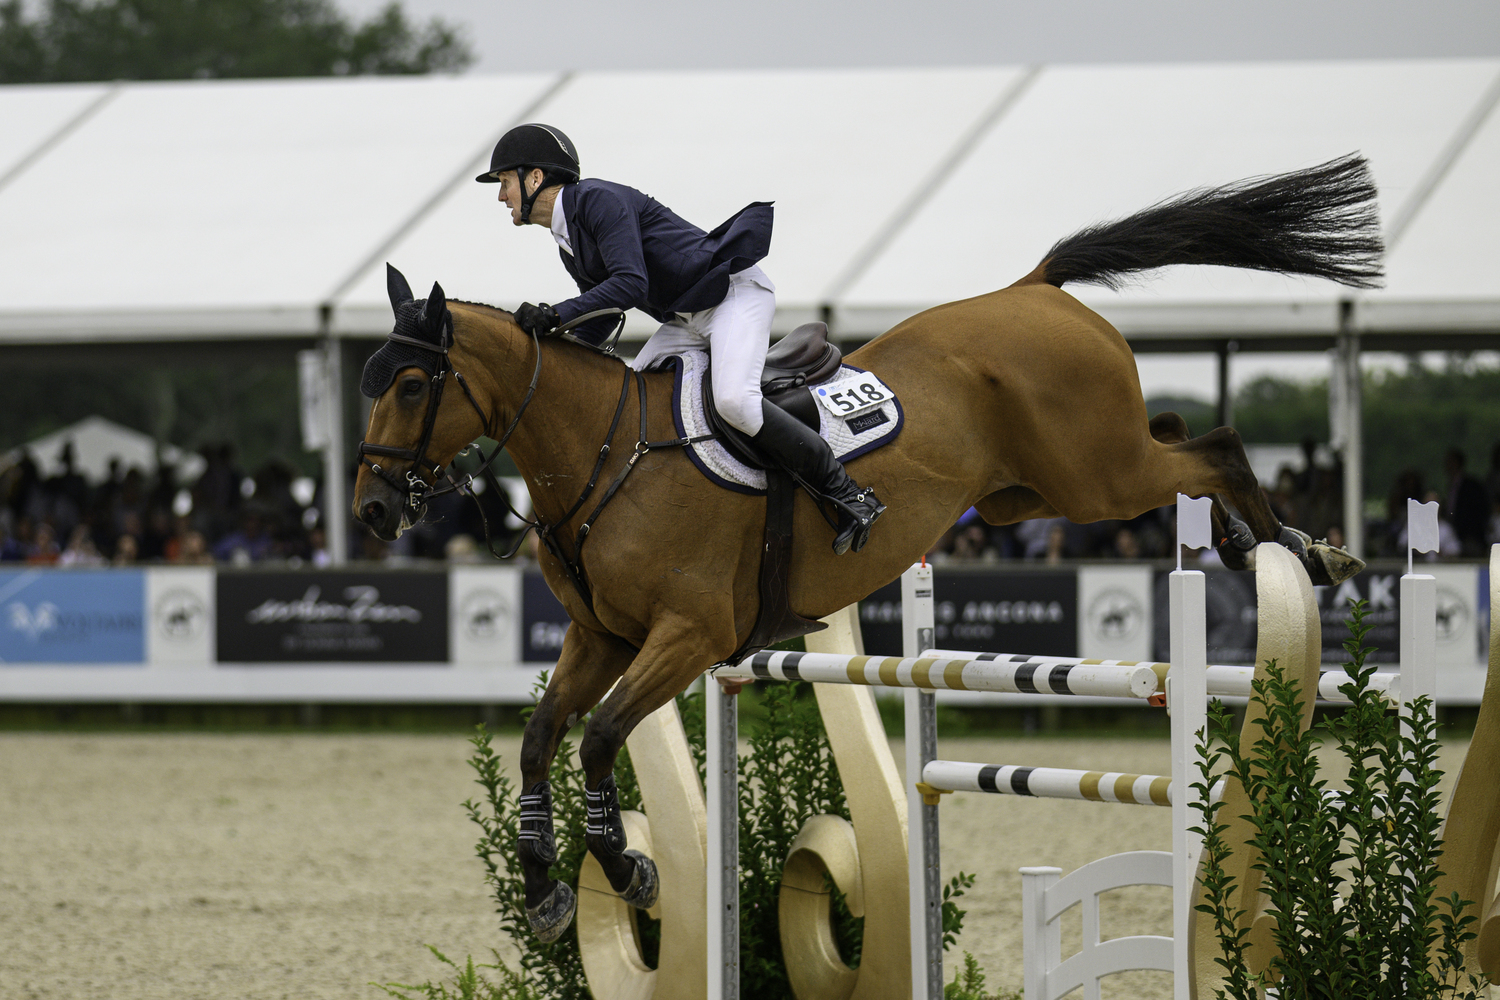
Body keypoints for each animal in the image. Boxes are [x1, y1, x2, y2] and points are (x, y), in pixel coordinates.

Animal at [354, 152, 1380, 941]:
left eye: (410, 385)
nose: (369, 508)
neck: (605, 450)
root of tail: (1032, 288)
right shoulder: (600, 637)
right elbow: (539, 742)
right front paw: (549, 896)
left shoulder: (689, 635)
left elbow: (601, 737)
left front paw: (631, 875)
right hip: (1034, 491)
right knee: (1177, 437)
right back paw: (1264, 544)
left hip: (1098, 477)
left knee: (1213, 449)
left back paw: (1295, 553)